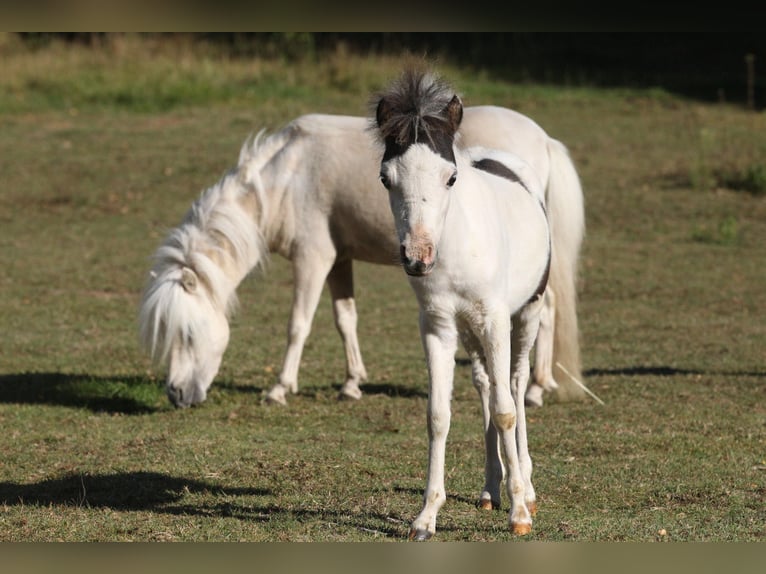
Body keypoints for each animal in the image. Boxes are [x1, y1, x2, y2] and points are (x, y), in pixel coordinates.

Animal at [138, 104, 584, 410]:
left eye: (188, 333)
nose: (176, 395)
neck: (288, 177)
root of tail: (542, 138)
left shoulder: (313, 258)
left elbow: (298, 324)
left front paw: (280, 388)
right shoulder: (339, 260)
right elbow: (344, 318)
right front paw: (352, 383)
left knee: (547, 312)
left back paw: (536, 389)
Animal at [374, 71, 548, 540]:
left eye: (450, 177)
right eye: (385, 178)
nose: (418, 257)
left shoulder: (495, 321)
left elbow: (506, 411)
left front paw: (519, 514)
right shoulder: (437, 326)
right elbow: (438, 415)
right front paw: (425, 517)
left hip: (526, 314)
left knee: (515, 384)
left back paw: (525, 488)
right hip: (469, 331)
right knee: (486, 384)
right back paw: (492, 488)